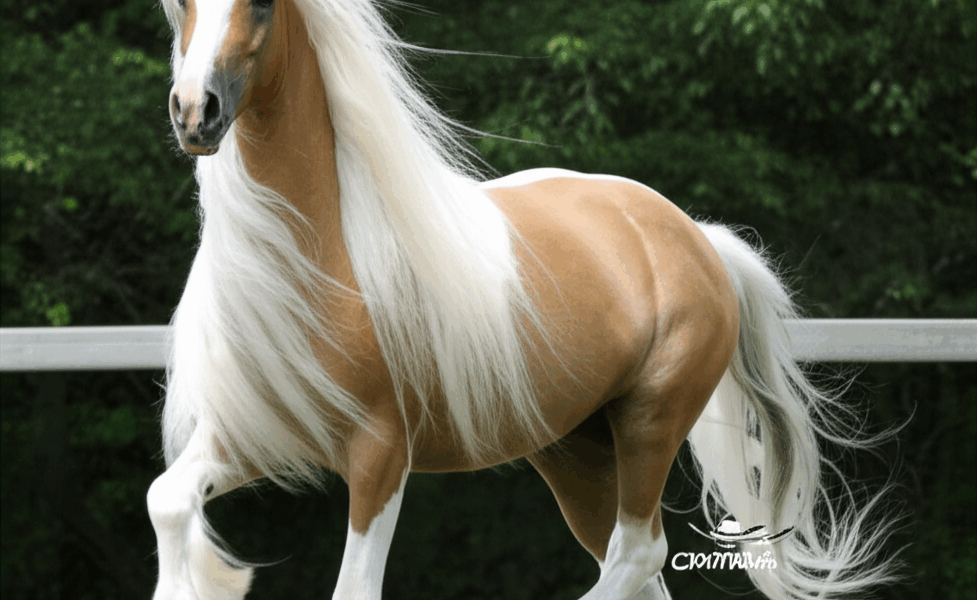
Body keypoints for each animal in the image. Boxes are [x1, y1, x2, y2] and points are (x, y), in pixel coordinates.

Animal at [147, 1, 900, 599]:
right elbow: (167, 501)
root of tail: (697, 237)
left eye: (263, 4)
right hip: (576, 452)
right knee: (638, 568)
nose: (195, 112)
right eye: (179, 1)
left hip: (651, 421)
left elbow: (355, 589)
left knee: (636, 555)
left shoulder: (381, 453)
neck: (328, 258)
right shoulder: (256, 434)